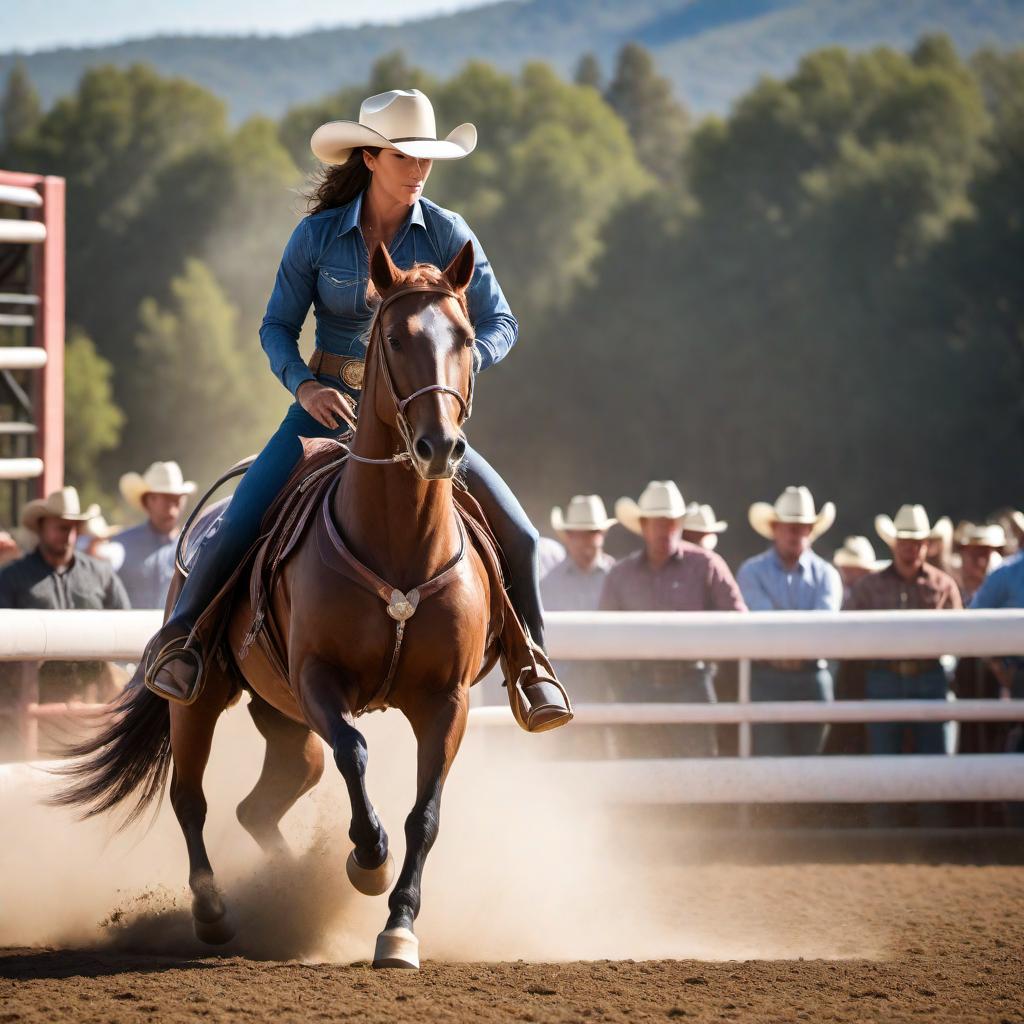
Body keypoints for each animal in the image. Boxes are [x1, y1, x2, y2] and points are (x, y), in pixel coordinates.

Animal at [56, 237, 499, 966]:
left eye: (464, 338)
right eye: (396, 337)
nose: (439, 446)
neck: (398, 546)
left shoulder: (447, 699)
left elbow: (426, 813)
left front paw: (399, 926)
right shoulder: (318, 679)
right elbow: (355, 751)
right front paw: (367, 861)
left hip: (285, 724)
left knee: (258, 806)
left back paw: (286, 892)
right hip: (202, 699)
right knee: (192, 798)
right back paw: (215, 913)